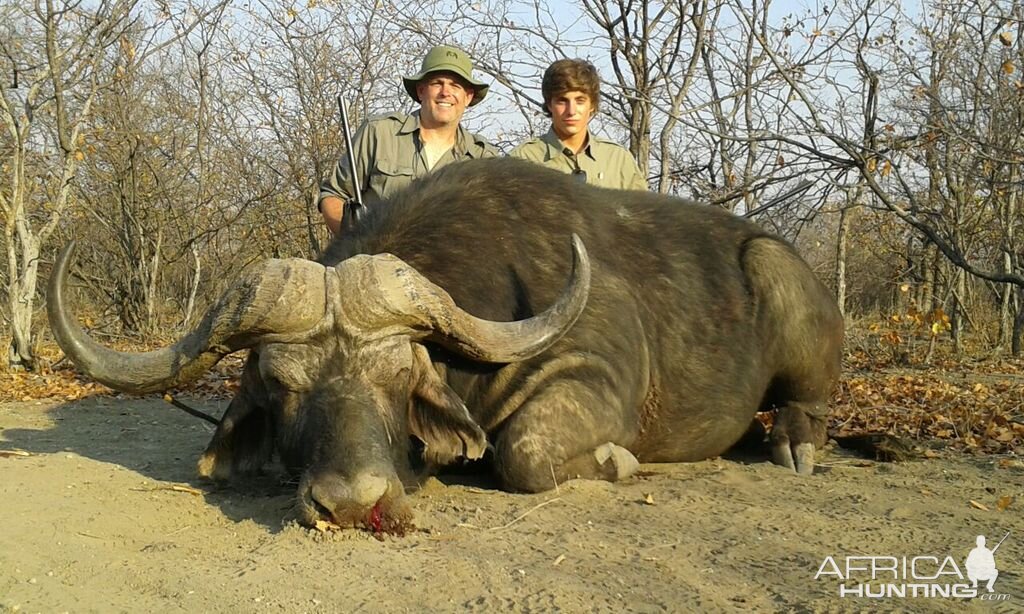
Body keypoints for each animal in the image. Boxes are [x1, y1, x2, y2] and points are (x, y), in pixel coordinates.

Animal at [48, 155, 843, 528]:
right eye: (281, 387)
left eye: (398, 377)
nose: (353, 504)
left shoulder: (592, 378)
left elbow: (526, 452)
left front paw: (617, 462)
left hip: (784, 294)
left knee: (806, 405)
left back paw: (795, 444)